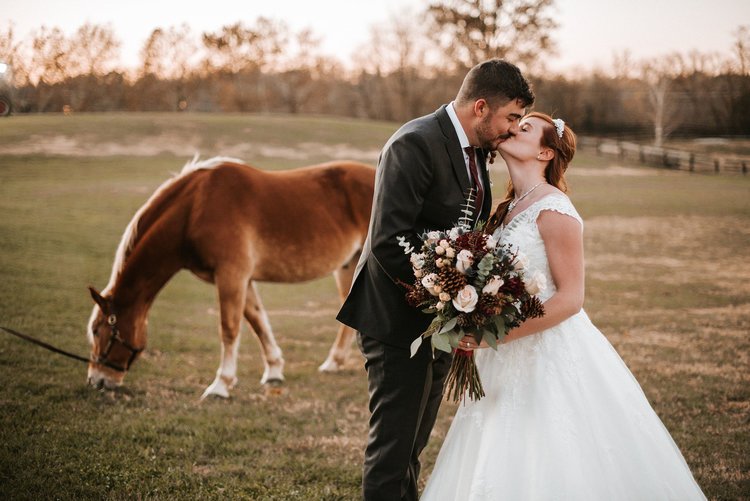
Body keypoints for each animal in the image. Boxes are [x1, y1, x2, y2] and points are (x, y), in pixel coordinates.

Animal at [86, 156, 374, 398]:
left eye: (98, 331)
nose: (96, 380)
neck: (195, 208)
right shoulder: (243, 279)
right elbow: (257, 320)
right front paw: (274, 370)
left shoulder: (231, 275)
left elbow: (229, 328)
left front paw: (221, 384)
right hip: (348, 267)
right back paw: (333, 362)